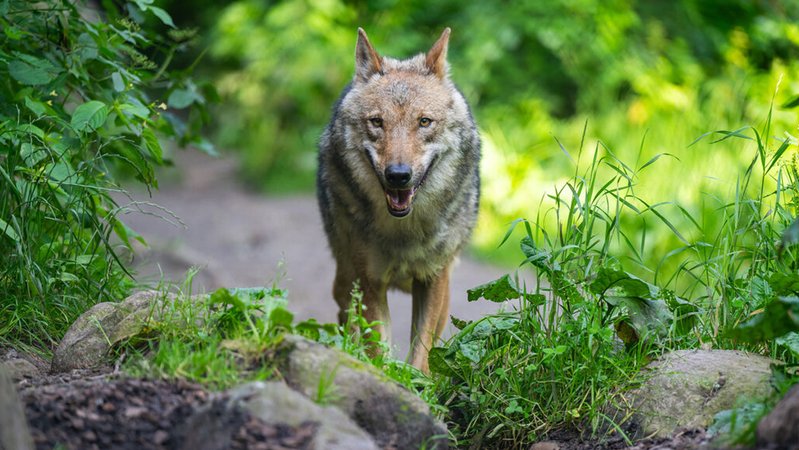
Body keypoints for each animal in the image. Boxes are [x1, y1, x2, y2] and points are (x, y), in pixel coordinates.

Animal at [316, 27, 480, 372]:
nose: (398, 175)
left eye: (424, 122)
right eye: (377, 122)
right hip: (345, 278)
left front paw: (416, 381)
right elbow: (378, 348)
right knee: (345, 318)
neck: (404, 232)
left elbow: (422, 351)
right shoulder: (369, 281)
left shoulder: (434, 278)